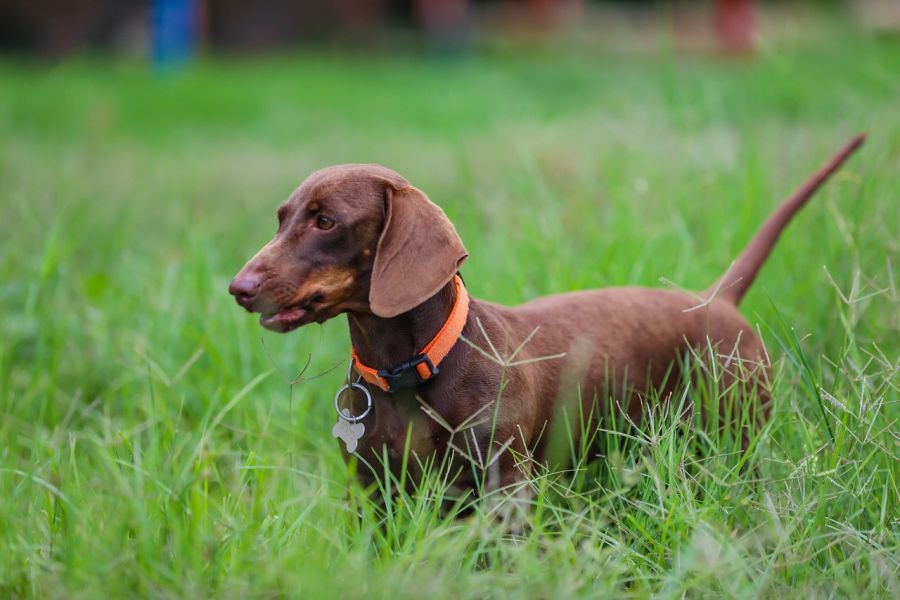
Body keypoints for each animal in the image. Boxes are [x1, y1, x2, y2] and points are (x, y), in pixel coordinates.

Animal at [230, 135, 864, 492]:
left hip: (736, 433)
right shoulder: (370, 488)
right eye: (282, 218)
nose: (238, 288)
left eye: (326, 221)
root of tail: (719, 299)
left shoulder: (505, 483)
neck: (413, 367)